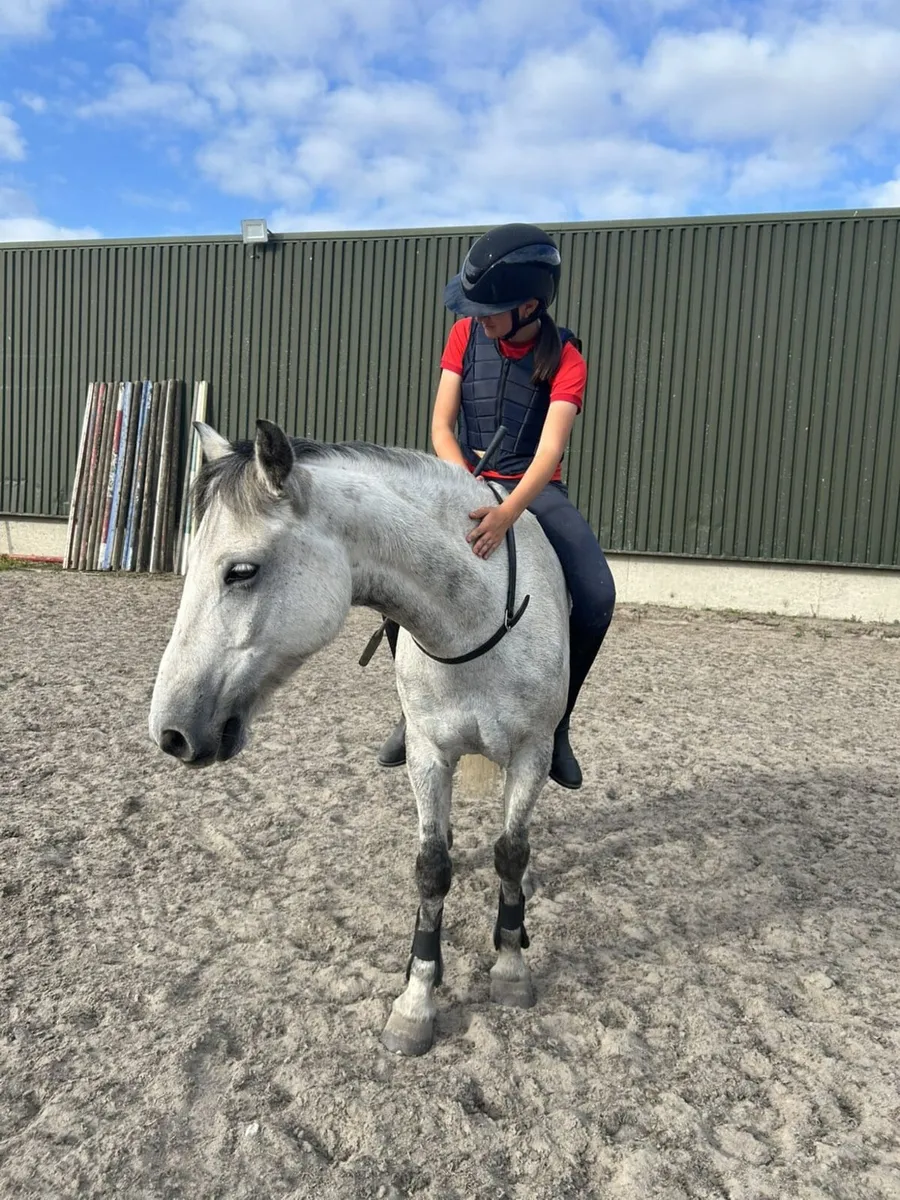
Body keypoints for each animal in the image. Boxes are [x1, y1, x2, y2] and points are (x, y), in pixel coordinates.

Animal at [149, 419, 570, 1056]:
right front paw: (416, 1000)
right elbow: (432, 867)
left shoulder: (531, 754)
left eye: (241, 571)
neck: (476, 616)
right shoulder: (429, 754)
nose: (170, 732)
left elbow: (511, 854)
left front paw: (511, 967)